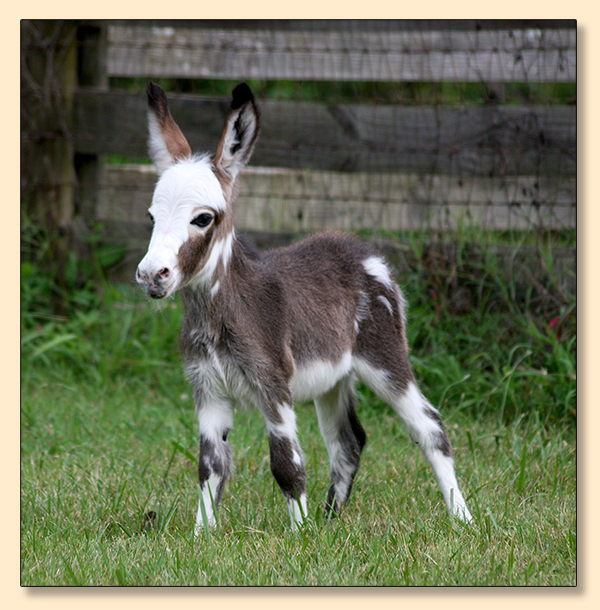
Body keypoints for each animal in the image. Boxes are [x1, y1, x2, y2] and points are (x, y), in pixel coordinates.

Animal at [137, 81, 474, 532]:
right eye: (151, 216)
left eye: (203, 219)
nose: (151, 275)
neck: (221, 314)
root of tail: (363, 251)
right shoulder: (207, 388)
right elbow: (211, 465)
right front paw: (201, 536)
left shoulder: (273, 383)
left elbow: (286, 464)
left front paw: (300, 535)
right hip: (333, 379)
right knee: (348, 441)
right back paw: (332, 518)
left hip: (384, 358)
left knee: (429, 427)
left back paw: (463, 519)